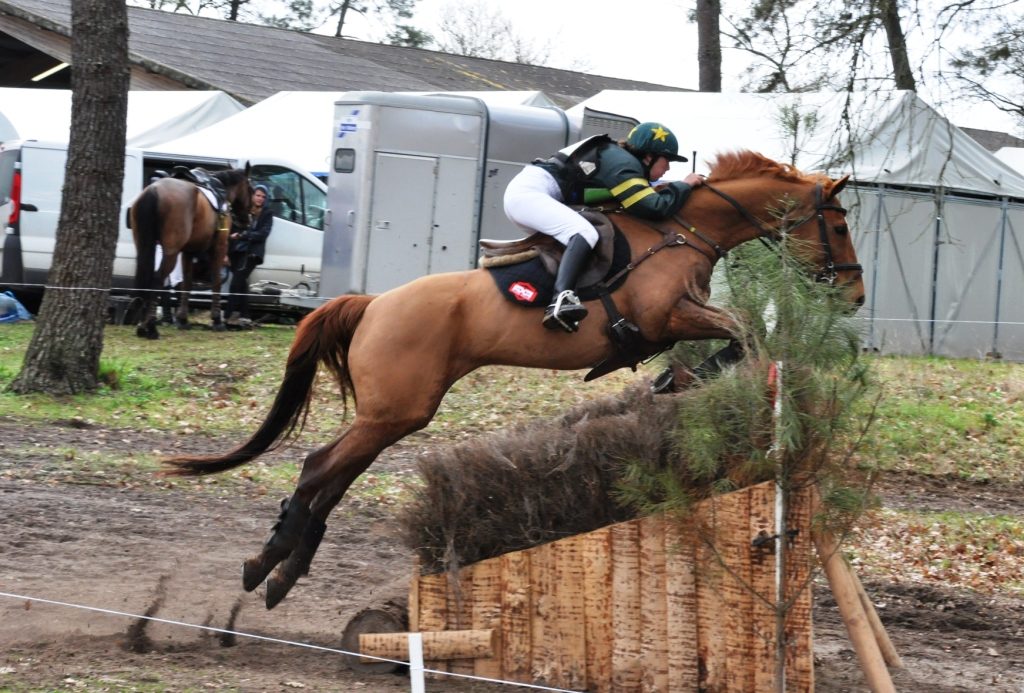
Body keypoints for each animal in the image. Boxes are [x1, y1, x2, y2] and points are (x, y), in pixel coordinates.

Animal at [131, 167, 252, 339]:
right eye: (250, 189)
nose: (246, 220)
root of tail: (154, 190)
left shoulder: (188, 250)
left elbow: (186, 282)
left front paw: (183, 319)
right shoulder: (220, 246)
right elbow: (216, 280)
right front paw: (217, 320)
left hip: (144, 245)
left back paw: (143, 325)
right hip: (171, 252)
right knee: (157, 280)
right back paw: (151, 327)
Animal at [159, 150, 864, 605]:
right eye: (838, 223)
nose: (854, 295)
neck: (683, 228)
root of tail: (374, 303)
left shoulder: (678, 319)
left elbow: (743, 336)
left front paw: (683, 380)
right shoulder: (666, 316)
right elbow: (741, 332)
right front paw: (683, 379)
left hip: (393, 414)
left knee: (332, 474)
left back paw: (280, 570)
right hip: (397, 410)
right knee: (317, 469)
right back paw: (268, 567)